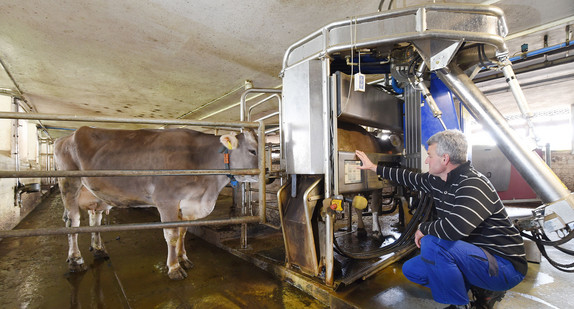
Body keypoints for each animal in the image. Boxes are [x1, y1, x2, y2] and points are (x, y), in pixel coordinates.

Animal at [55, 125, 260, 280]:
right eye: (252, 151)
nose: (266, 172)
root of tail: (66, 137)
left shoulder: (187, 205)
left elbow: (183, 232)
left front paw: (183, 257)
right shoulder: (166, 200)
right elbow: (172, 235)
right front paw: (174, 267)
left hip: (95, 194)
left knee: (95, 218)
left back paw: (98, 249)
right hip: (69, 183)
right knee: (73, 221)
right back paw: (75, 260)